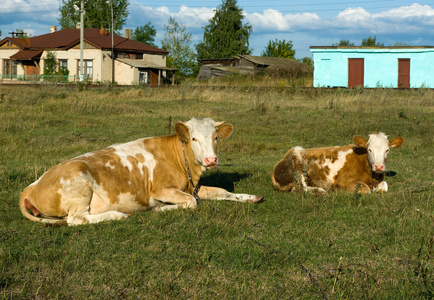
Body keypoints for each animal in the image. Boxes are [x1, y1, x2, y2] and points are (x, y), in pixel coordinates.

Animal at [20, 117, 262, 225]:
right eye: (193, 138)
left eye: (216, 137)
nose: (211, 160)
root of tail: (30, 187)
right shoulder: (160, 190)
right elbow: (191, 203)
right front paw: (160, 209)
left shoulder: (192, 187)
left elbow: (222, 191)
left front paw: (250, 197)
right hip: (78, 183)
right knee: (76, 219)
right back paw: (117, 215)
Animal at [272, 133, 406, 195]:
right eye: (369, 149)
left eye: (387, 150)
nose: (379, 166)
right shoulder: (343, 181)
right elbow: (366, 189)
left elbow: (384, 186)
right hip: (298, 156)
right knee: (302, 187)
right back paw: (321, 191)